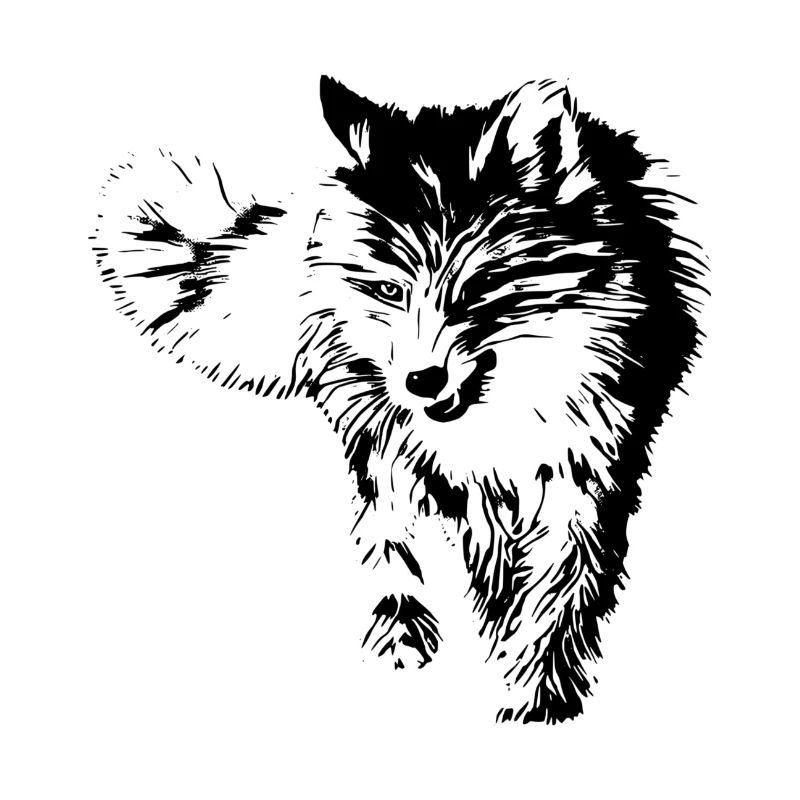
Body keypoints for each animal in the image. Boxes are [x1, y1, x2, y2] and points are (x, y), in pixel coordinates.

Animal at [92, 76, 704, 723]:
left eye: (481, 287)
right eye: (389, 290)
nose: (421, 381)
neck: (492, 432)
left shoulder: (581, 480)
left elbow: (549, 609)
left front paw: (535, 700)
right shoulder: (407, 457)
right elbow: (397, 547)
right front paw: (420, 636)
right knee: (386, 532)